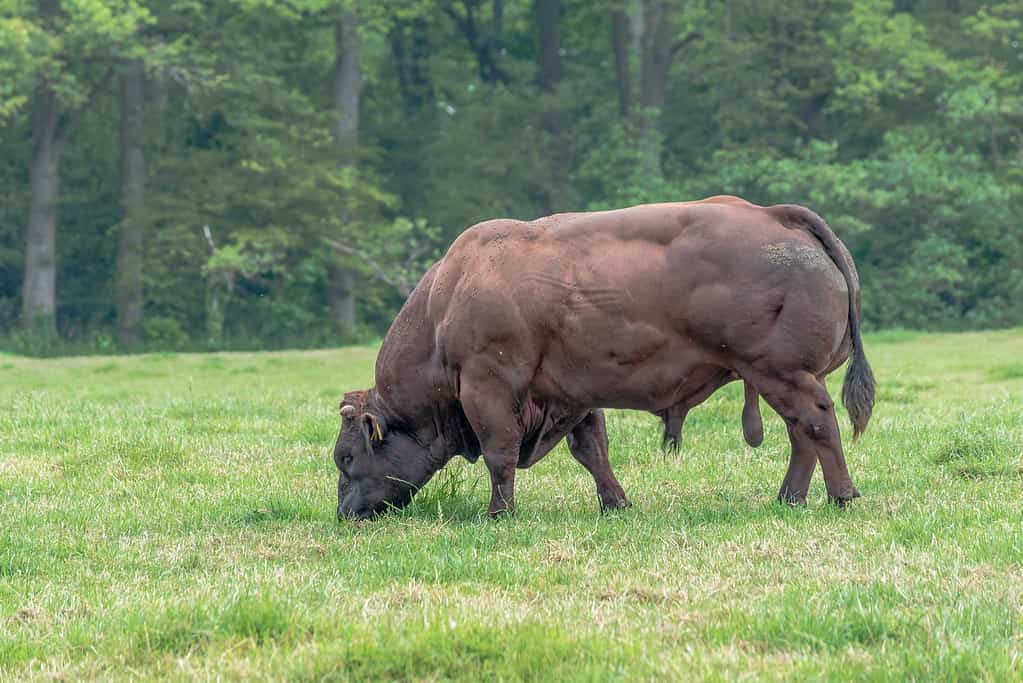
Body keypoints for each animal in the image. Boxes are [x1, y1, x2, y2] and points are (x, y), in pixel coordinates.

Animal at [331, 194, 875, 519]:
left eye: (346, 457)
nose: (345, 514)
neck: (446, 304)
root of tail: (776, 214)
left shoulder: (488, 388)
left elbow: (498, 453)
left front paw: (498, 513)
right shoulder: (571, 395)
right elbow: (592, 450)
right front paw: (616, 503)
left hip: (780, 373)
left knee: (817, 422)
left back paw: (841, 495)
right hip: (776, 377)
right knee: (801, 431)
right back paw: (789, 498)